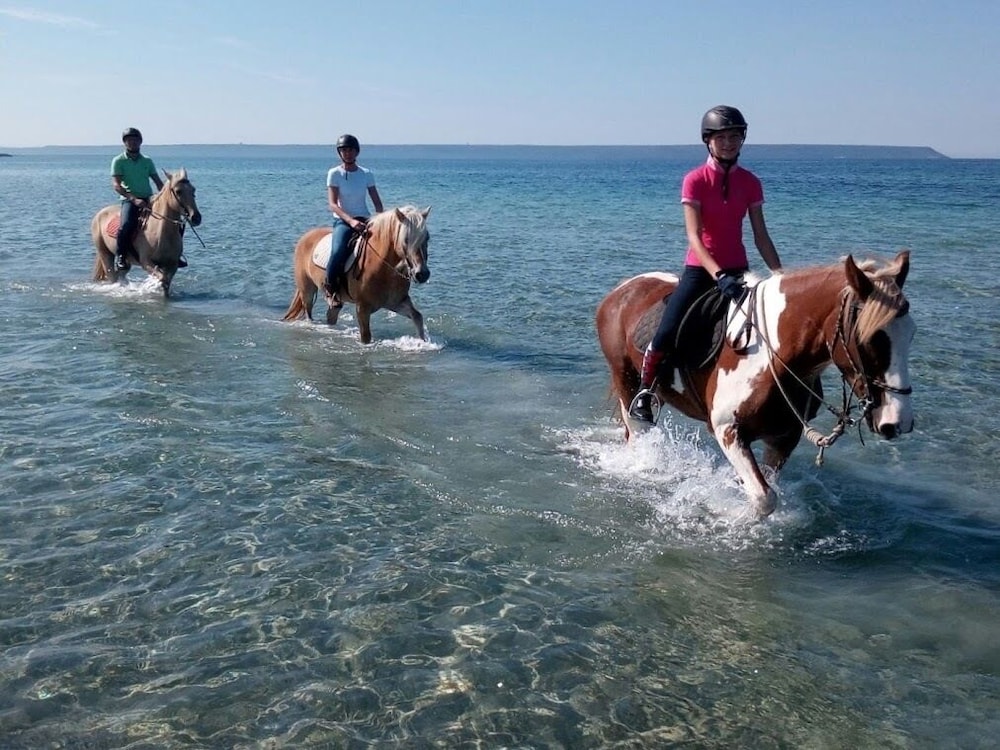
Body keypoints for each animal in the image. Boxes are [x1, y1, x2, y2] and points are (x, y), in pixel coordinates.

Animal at [282, 205, 431, 344]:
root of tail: (306, 236)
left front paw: (423, 342)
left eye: (427, 238)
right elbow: (366, 337)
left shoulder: (396, 302)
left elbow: (417, 317)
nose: (422, 274)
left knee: (331, 315)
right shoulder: (362, 308)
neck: (383, 267)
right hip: (307, 289)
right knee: (309, 312)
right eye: (406, 239)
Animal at [596, 251, 915, 518]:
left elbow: (766, 485)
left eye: (910, 334)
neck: (772, 353)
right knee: (637, 429)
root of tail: (621, 291)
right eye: (869, 339)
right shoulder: (728, 430)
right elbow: (764, 498)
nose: (897, 423)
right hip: (625, 380)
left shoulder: (784, 436)